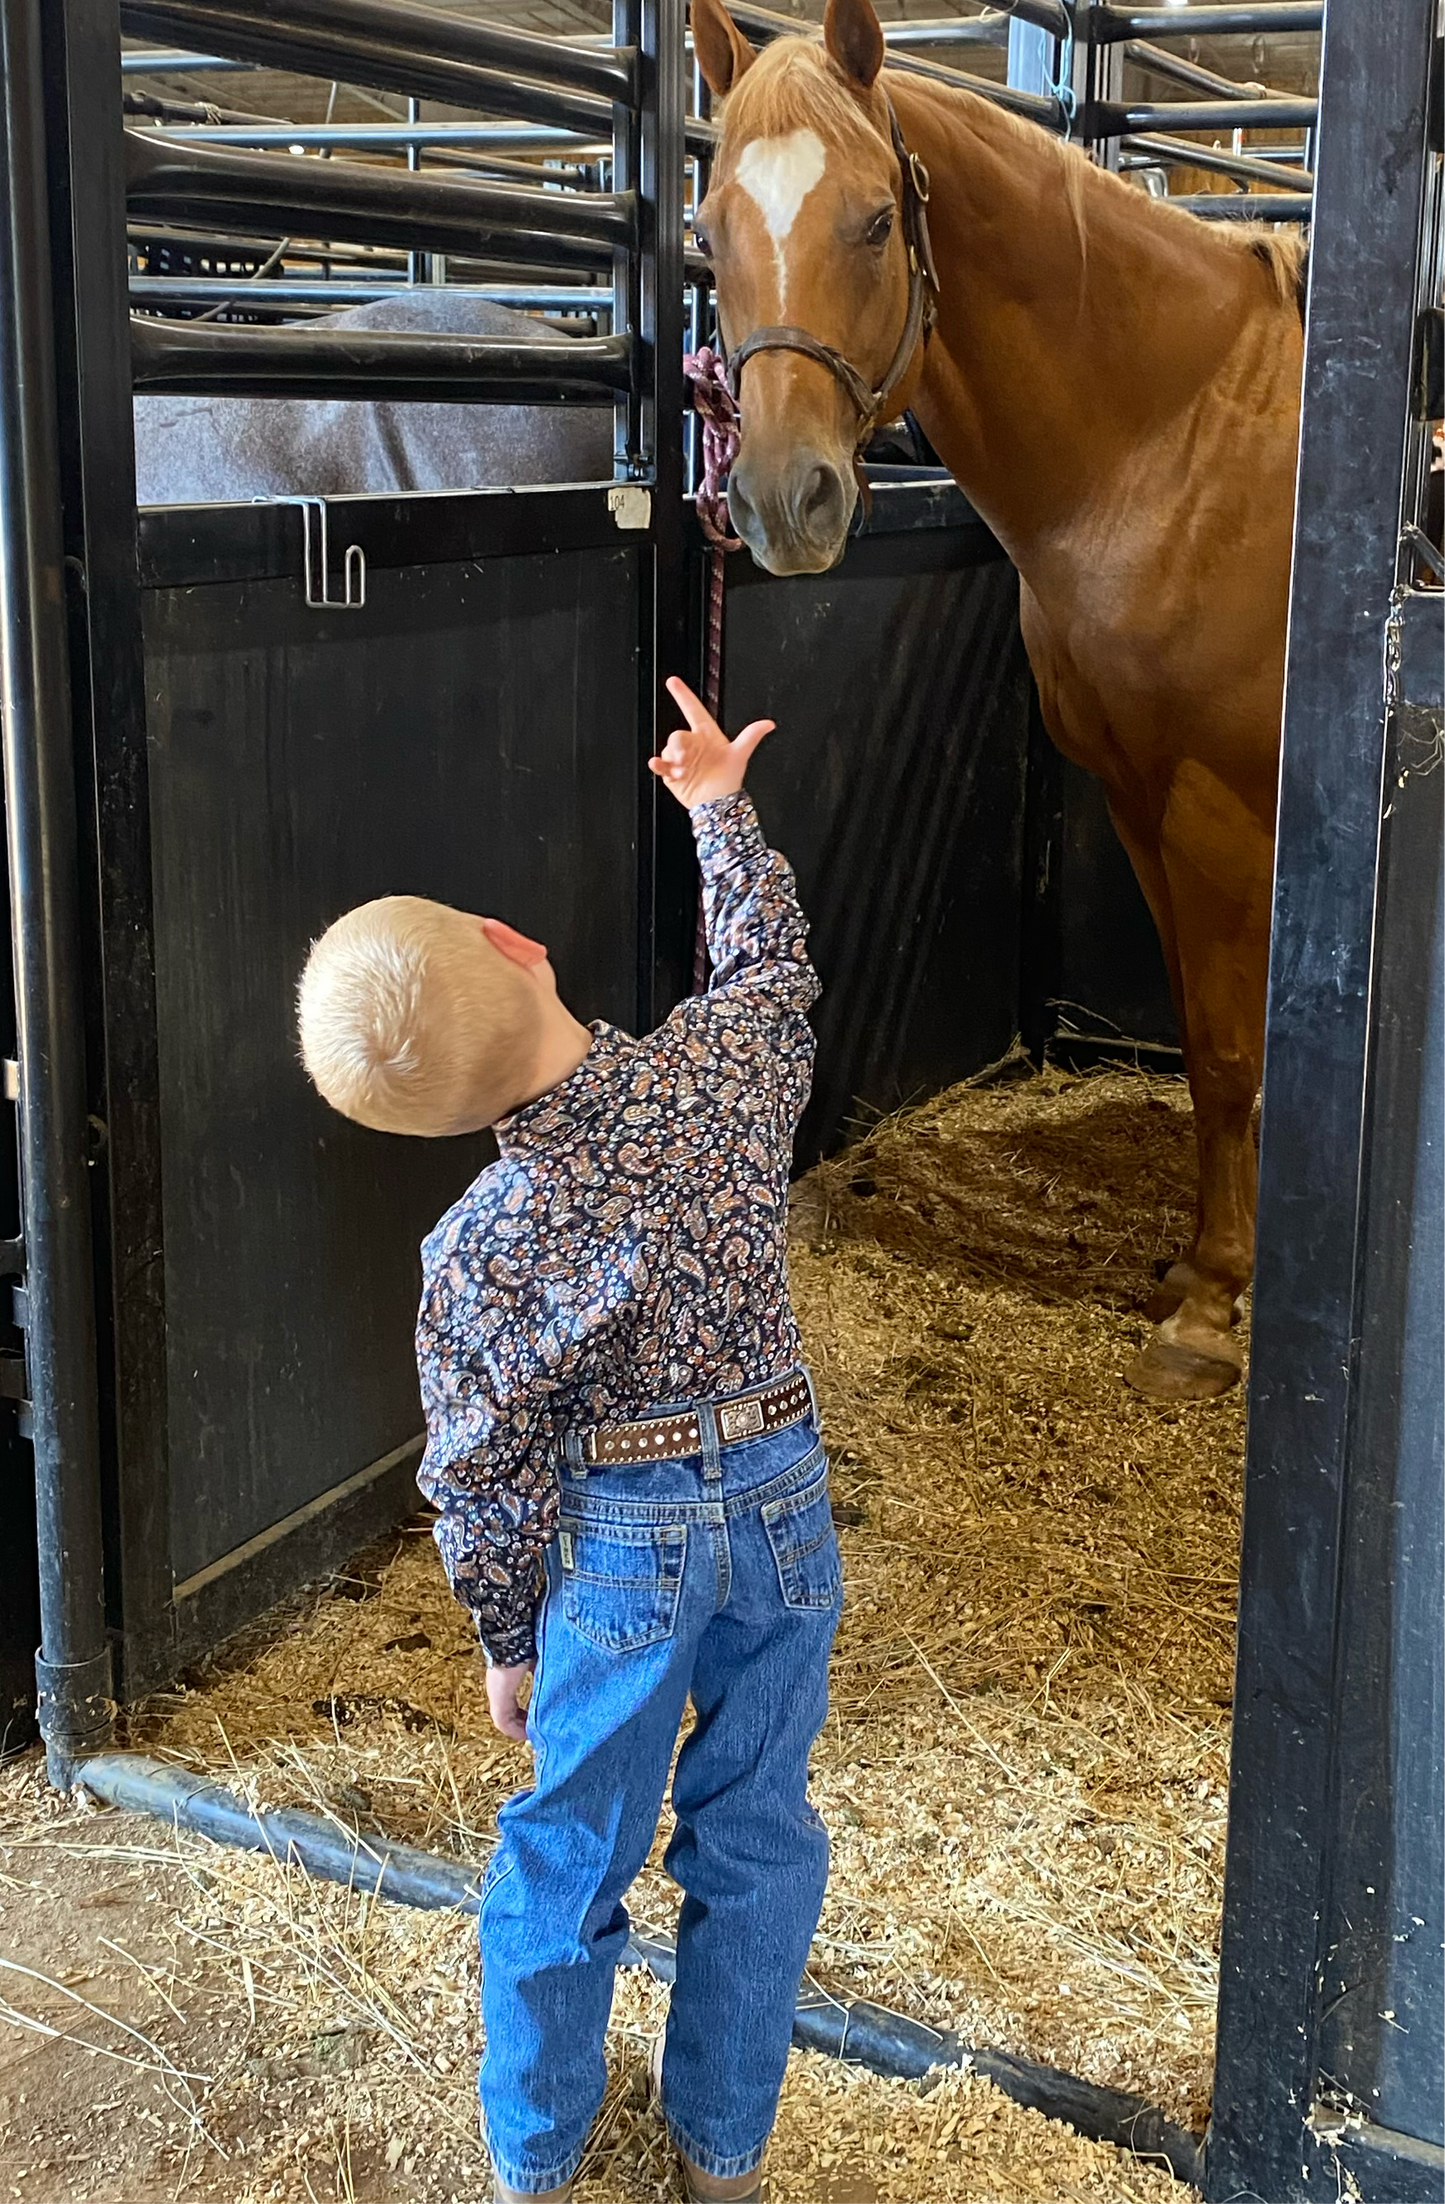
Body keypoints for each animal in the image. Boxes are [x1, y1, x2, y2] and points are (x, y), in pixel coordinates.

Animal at [696, 0, 1304, 1401]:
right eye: (704, 227)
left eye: (875, 219)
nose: (783, 500)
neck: (1184, 437)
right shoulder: (1138, 800)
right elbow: (1203, 1038)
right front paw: (1196, 1267)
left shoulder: (1222, 806)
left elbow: (1230, 1048)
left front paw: (1209, 1312)